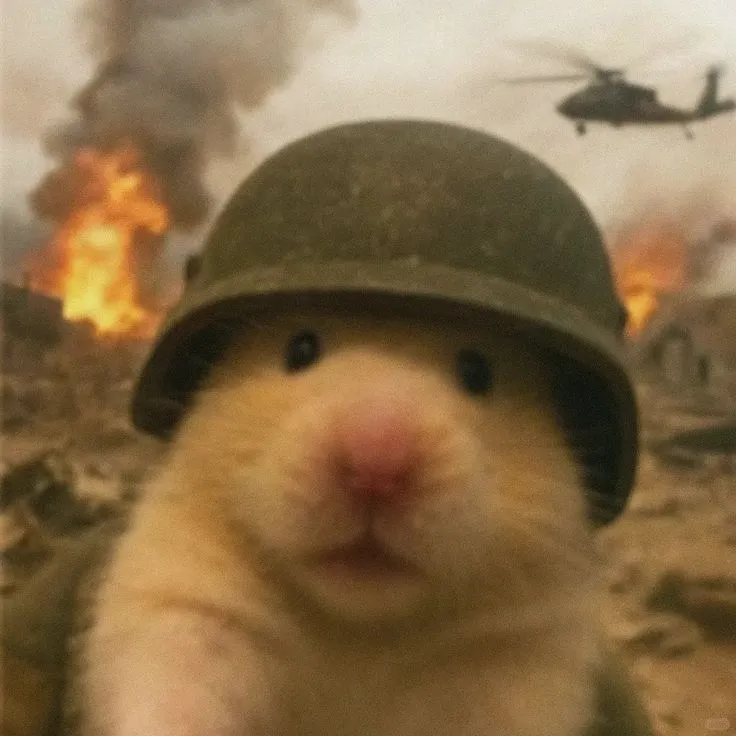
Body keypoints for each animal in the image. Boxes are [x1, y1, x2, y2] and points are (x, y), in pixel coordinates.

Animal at [79, 308, 605, 736]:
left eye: (478, 371)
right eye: (300, 349)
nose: (377, 465)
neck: (354, 632)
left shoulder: (516, 662)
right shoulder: (185, 610)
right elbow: (173, 702)